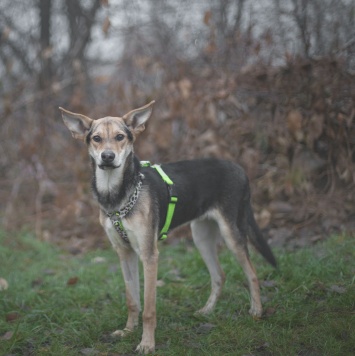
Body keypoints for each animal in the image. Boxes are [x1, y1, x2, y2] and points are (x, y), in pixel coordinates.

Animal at [59, 101, 276, 354]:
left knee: (252, 273)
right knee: (219, 275)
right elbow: (132, 299)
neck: (117, 194)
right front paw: (128, 331)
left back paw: (256, 312)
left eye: (120, 137)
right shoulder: (124, 253)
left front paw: (146, 343)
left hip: (232, 232)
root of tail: (238, 168)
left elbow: (149, 309)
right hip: (201, 236)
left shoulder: (149, 255)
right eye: (96, 138)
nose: (108, 156)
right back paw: (207, 311)